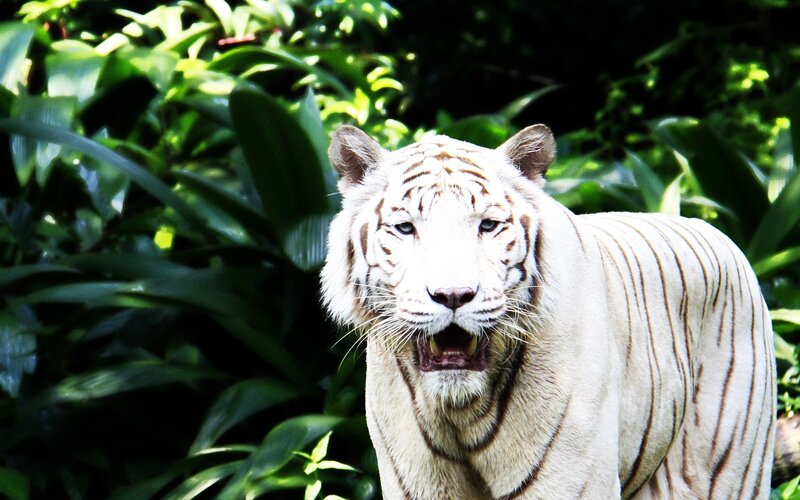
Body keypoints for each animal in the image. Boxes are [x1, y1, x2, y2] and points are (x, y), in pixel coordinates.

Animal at [321, 124, 777, 499]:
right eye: (405, 228)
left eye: (488, 226)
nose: (453, 295)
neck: (461, 412)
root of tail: (713, 230)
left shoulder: (570, 478)